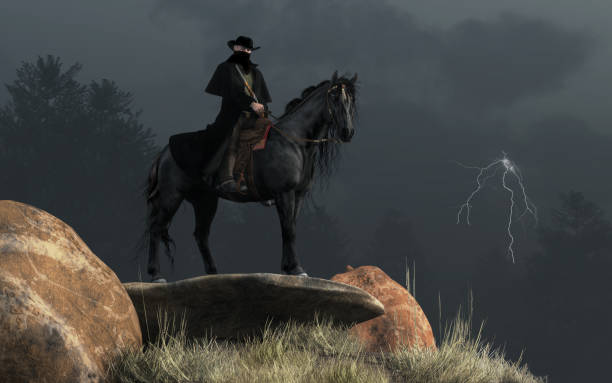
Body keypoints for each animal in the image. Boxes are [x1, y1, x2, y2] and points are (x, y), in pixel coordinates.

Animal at [141, 71, 356, 282]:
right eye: (334, 97)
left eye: (351, 101)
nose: (348, 132)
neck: (294, 142)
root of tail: (165, 153)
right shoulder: (284, 194)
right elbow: (288, 229)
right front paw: (296, 269)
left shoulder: (298, 195)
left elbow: (290, 228)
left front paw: (288, 268)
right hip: (172, 197)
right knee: (156, 229)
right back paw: (156, 275)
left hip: (205, 201)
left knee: (200, 234)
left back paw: (213, 273)